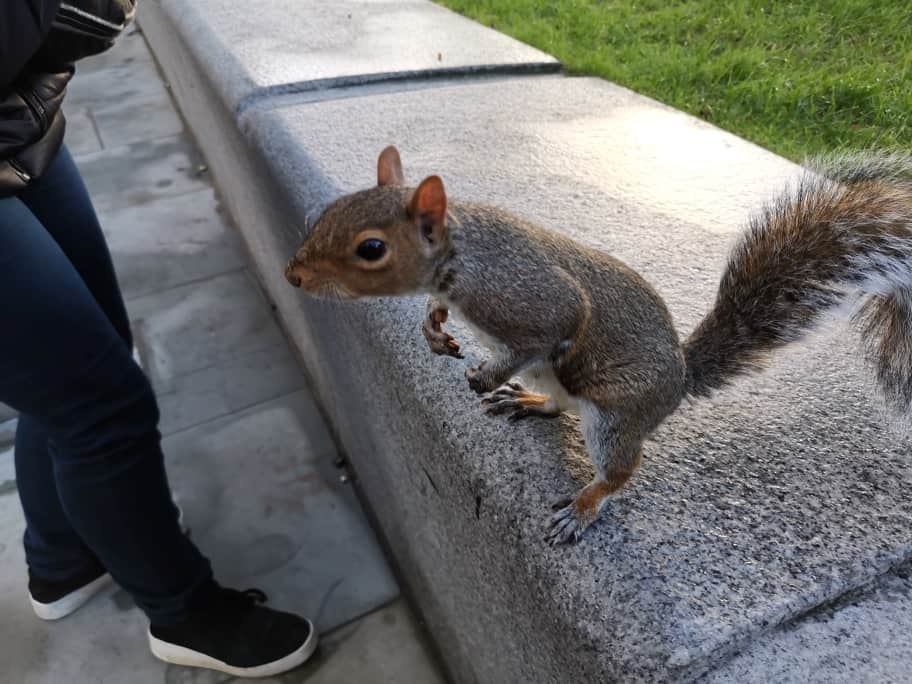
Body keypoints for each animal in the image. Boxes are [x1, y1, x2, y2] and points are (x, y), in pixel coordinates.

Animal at [285, 145, 912, 545]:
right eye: (333, 209)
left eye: (371, 249)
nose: (294, 275)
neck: (462, 254)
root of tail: (680, 380)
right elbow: (439, 316)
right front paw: (434, 329)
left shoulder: (532, 297)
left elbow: (548, 330)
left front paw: (485, 373)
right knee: (557, 402)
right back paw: (529, 400)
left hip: (614, 412)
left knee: (618, 469)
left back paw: (584, 506)